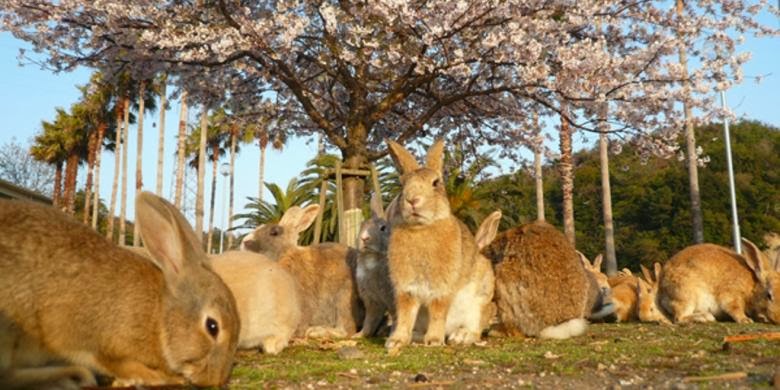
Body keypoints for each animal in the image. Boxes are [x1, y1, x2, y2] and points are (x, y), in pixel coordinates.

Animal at [0, 193, 239, 388]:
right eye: (212, 327)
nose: (214, 380)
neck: (158, 316)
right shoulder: (92, 339)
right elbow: (118, 363)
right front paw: (159, 377)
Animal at [239, 204, 362, 338]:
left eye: (274, 232)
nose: (244, 242)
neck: (284, 256)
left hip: (344, 298)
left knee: (347, 329)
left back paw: (316, 331)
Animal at [384, 139, 494, 352]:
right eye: (402, 185)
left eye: (436, 183)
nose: (412, 200)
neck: (421, 227)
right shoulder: (405, 288)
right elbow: (405, 313)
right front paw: (396, 341)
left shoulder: (441, 288)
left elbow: (437, 310)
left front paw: (434, 341)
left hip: (481, 300)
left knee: (475, 328)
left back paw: (459, 336)